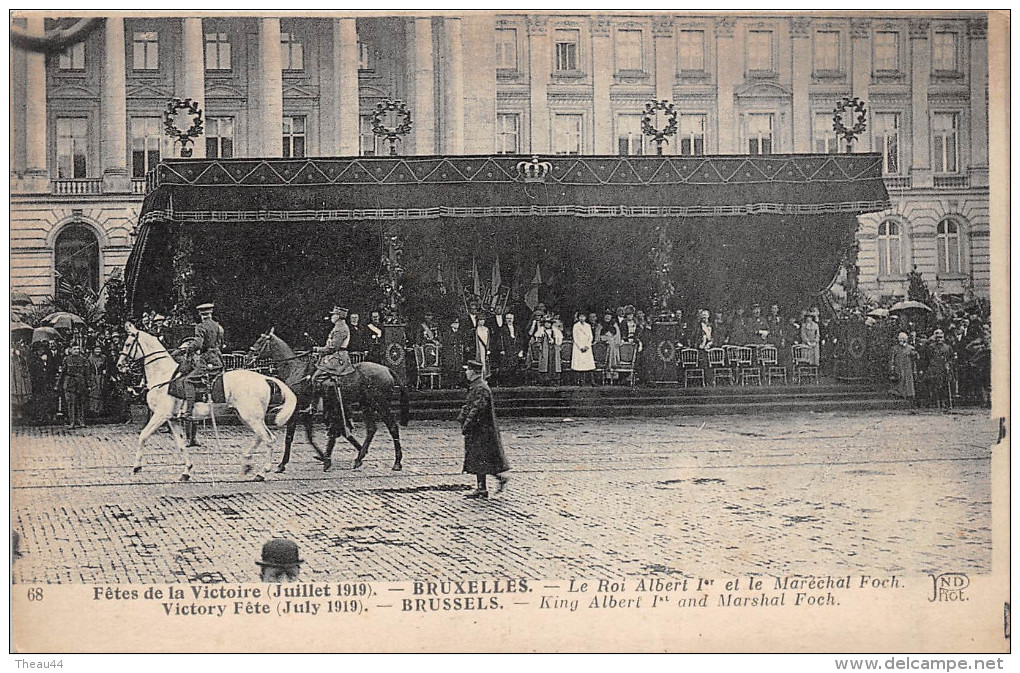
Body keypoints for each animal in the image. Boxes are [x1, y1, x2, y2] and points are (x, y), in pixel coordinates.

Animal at [118, 324, 297, 481]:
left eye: (127, 344)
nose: (120, 365)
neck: (164, 376)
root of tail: (264, 377)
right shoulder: (173, 419)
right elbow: (181, 445)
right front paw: (186, 471)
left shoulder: (161, 416)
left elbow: (143, 435)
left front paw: (136, 467)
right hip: (247, 417)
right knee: (261, 437)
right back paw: (247, 463)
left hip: (251, 417)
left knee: (269, 439)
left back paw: (262, 472)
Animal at [244, 330, 408, 473]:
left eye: (260, 341)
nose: (248, 358)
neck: (295, 371)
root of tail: (387, 369)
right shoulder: (308, 412)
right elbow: (311, 437)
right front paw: (324, 457)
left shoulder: (297, 410)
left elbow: (290, 437)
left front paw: (282, 464)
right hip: (366, 405)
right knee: (371, 429)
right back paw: (359, 458)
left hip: (381, 404)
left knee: (392, 427)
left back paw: (397, 462)